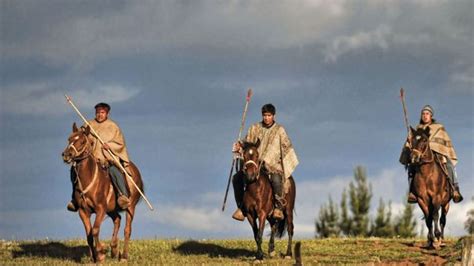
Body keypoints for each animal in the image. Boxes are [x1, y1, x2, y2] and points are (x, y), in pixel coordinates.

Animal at [61, 123, 143, 262]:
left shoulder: (100, 209)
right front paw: (93, 258)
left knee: (127, 229)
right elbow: (89, 234)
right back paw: (114, 249)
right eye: (69, 139)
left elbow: (95, 230)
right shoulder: (83, 211)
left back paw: (124, 256)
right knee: (117, 219)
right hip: (111, 209)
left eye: (82, 141)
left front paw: (100, 254)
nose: (66, 155)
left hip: (130, 206)